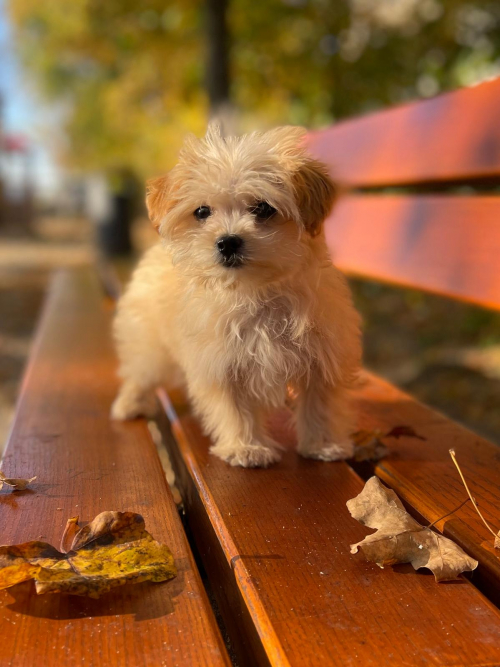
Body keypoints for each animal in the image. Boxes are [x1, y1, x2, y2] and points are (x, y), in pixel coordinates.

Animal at [112, 126, 362, 470]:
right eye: (202, 211)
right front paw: (246, 447)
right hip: (150, 344)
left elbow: (319, 405)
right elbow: (234, 408)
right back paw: (129, 403)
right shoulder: (221, 362)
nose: (228, 242)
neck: (256, 292)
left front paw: (323, 444)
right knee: (139, 372)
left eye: (263, 208)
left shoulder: (322, 356)